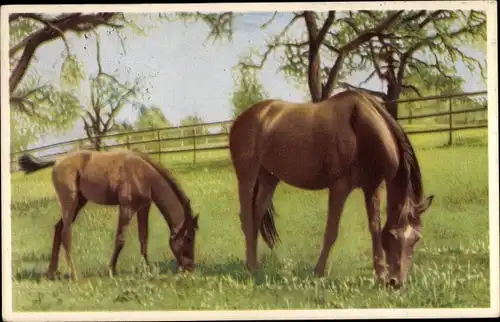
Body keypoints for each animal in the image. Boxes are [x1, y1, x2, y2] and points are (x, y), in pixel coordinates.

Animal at [18, 150, 197, 280]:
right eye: (188, 238)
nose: (190, 268)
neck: (142, 174)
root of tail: (57, 160)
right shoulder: (126, 208)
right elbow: (120, 239)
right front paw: (111, 270)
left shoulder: (143, 207)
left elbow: (144, 236)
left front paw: (145, 268)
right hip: (70, 203)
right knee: (65, 234)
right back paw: (75, 276)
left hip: (79, 203)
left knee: (58, 228)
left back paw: (52, 272)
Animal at [229, 89, 434, 288]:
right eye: (392, 236)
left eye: (416, 239)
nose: (396, 282)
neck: (363, 130)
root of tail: (241, 119)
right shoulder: (340, 187)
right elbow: (331, 232)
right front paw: (318, 272)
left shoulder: (373, 188)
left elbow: (374, 228)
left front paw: (380, 275)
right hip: (247, 176)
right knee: (246, 218)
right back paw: (252, 267)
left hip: (269, 179)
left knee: (256, 215)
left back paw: (255, 264)